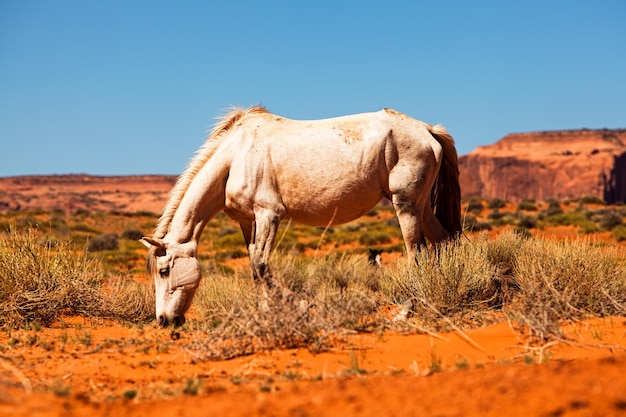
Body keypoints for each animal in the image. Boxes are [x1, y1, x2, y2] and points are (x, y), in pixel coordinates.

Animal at [143, 105, 464, 324]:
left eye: (164, 271)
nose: (164, 321)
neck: (235, 158)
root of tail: (427, 130)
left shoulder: (269, 215)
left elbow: (261, 266)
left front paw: (280, 311)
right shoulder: (248, 222)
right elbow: (254, 266)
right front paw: (266, 312)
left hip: (405, 205)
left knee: (416, 253)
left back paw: (405, 311)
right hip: (421, 207)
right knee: (443, 242)